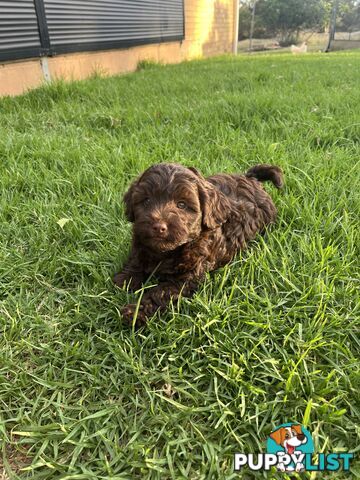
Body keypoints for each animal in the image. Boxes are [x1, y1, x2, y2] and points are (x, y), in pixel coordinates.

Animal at [114, 162, 282, 326]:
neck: (167, 252)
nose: (158, 227)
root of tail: (251, 178)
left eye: (181, 205)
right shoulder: (140, 244)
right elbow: (136, 261)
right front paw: (124, 280)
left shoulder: (186, 279)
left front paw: (135, 313)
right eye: (147, 200)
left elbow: (160, 293)